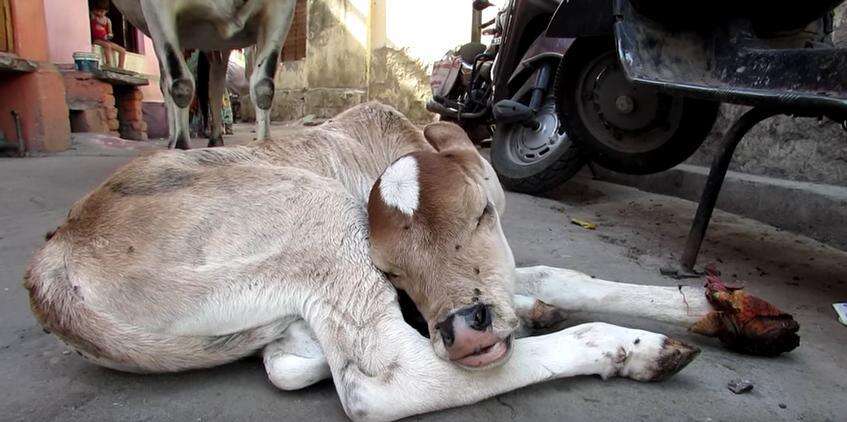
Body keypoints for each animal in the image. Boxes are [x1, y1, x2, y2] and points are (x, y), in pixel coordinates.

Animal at [23, 103, 800, 422]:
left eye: (481, 216)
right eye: (394, 266)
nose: (468, 327)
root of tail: (52, 263)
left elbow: (557, 274)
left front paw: (724, 310)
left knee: (295, 359)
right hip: (318, 214)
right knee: (385, 382)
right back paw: (626, 347)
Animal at [114, 0, 294, 148]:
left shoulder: (282, 7)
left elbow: (263, 87)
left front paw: (264, 142)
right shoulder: (156, 8)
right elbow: (181, 85)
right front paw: (181, 145)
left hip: (218, 44)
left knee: (216, 82)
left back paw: (215, 138)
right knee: (166, 83)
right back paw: (172, 139)